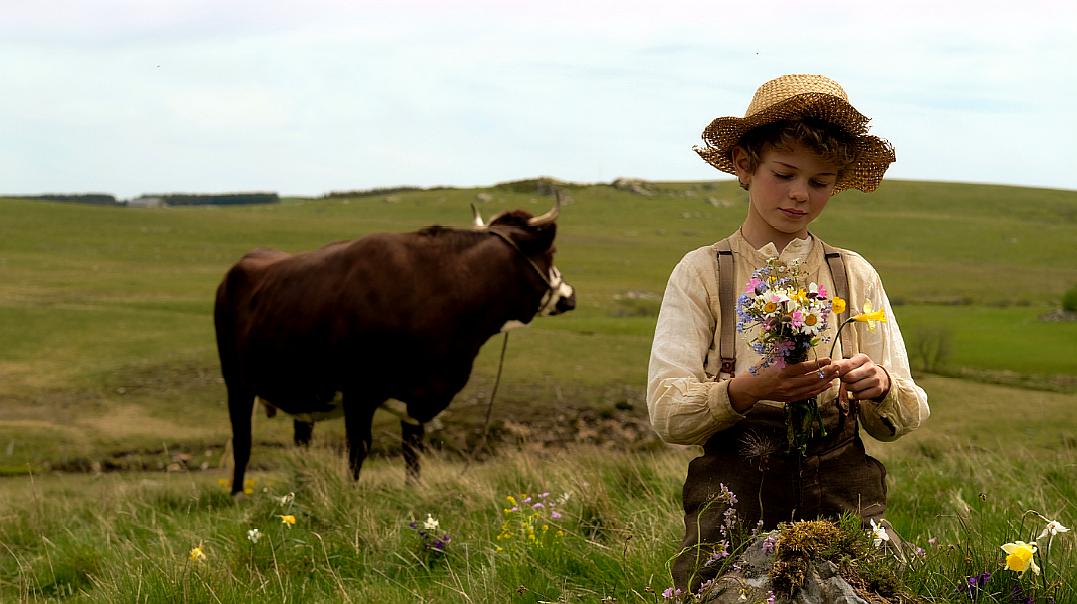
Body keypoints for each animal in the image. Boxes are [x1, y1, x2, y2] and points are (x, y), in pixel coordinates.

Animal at [214, 200, 577, 493]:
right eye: (551, 254)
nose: (570, 297)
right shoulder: (358, 392)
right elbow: (358, 450)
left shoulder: (419, 398)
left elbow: (412, 454)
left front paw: (412, 495)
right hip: (236, 383)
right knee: (243, 441)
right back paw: (237, 495)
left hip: (302, 391)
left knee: (302, 440)